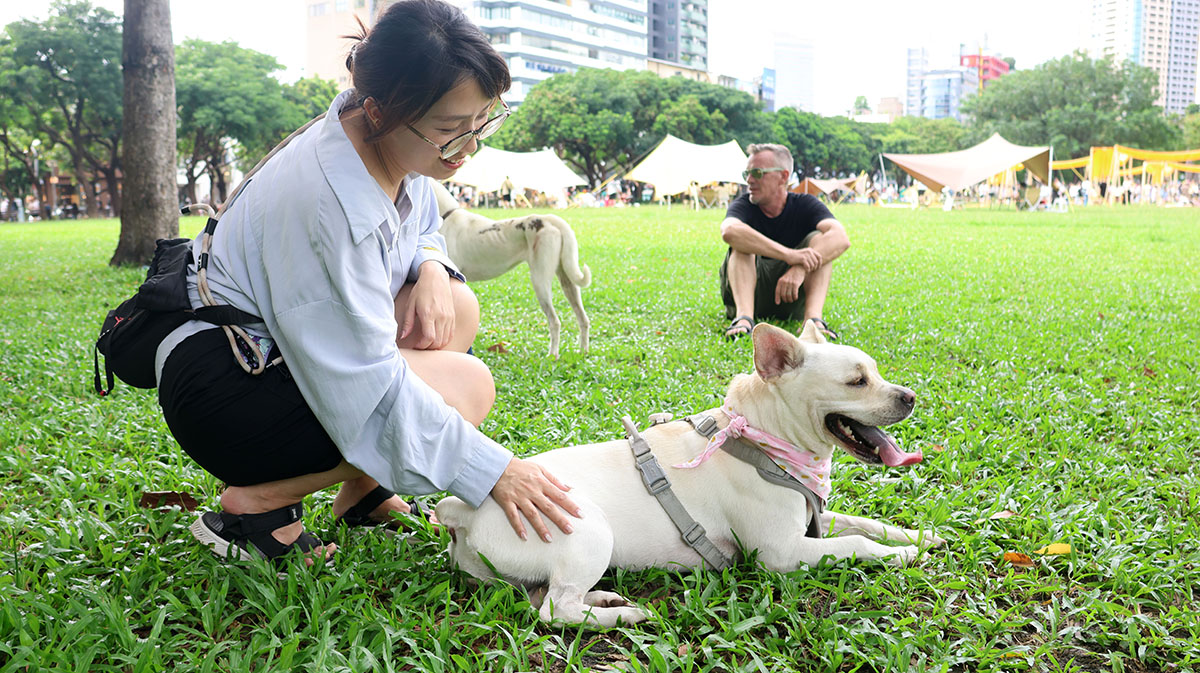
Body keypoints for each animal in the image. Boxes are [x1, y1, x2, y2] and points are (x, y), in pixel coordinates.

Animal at [436, 321, 950, 623]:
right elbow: (857, 544)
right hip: (588, 533)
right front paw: (903, 555)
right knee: (555, 612)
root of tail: (463, 513)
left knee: (545, 596)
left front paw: (918, 537)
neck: (761, 439)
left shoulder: (815, 521)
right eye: (856, 382)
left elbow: (867, 524)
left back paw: (604, 600)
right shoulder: (782, 553)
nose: (910, 396)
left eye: (876, 373)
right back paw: (625, 616)